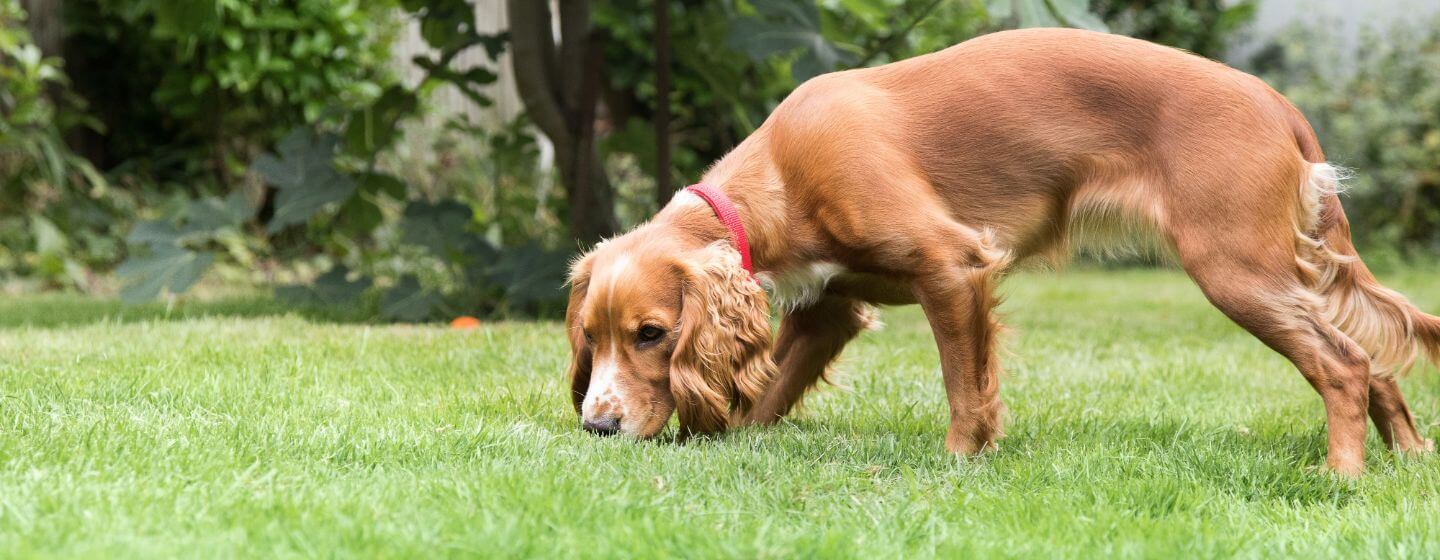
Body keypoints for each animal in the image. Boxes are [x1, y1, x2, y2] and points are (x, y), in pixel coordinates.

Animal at [561, 28, 1440, 472]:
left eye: (651, 334)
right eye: (589, 339)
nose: (596, 427)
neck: (779, 173)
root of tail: (1275, 102)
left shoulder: (953, 266)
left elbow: (963, 386)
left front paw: (961, 463)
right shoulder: (828, 311)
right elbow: (767, 394)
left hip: (1235, 270)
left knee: (1344, 363)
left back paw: (1341, 476)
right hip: (1287, 269)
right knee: (1376, 360)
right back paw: (1407, 461)